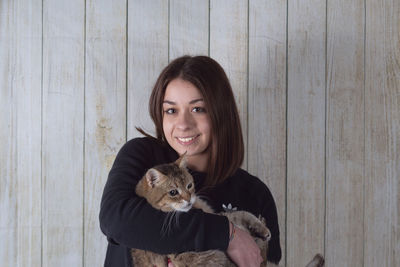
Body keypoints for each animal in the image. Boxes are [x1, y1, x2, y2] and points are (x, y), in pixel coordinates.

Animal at [130, 155, 324, 267]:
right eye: (173, 192)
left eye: (189, 185)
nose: (189, 198)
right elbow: (238, 216)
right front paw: (260, 229)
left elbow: (242, 214)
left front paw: (260, 228)